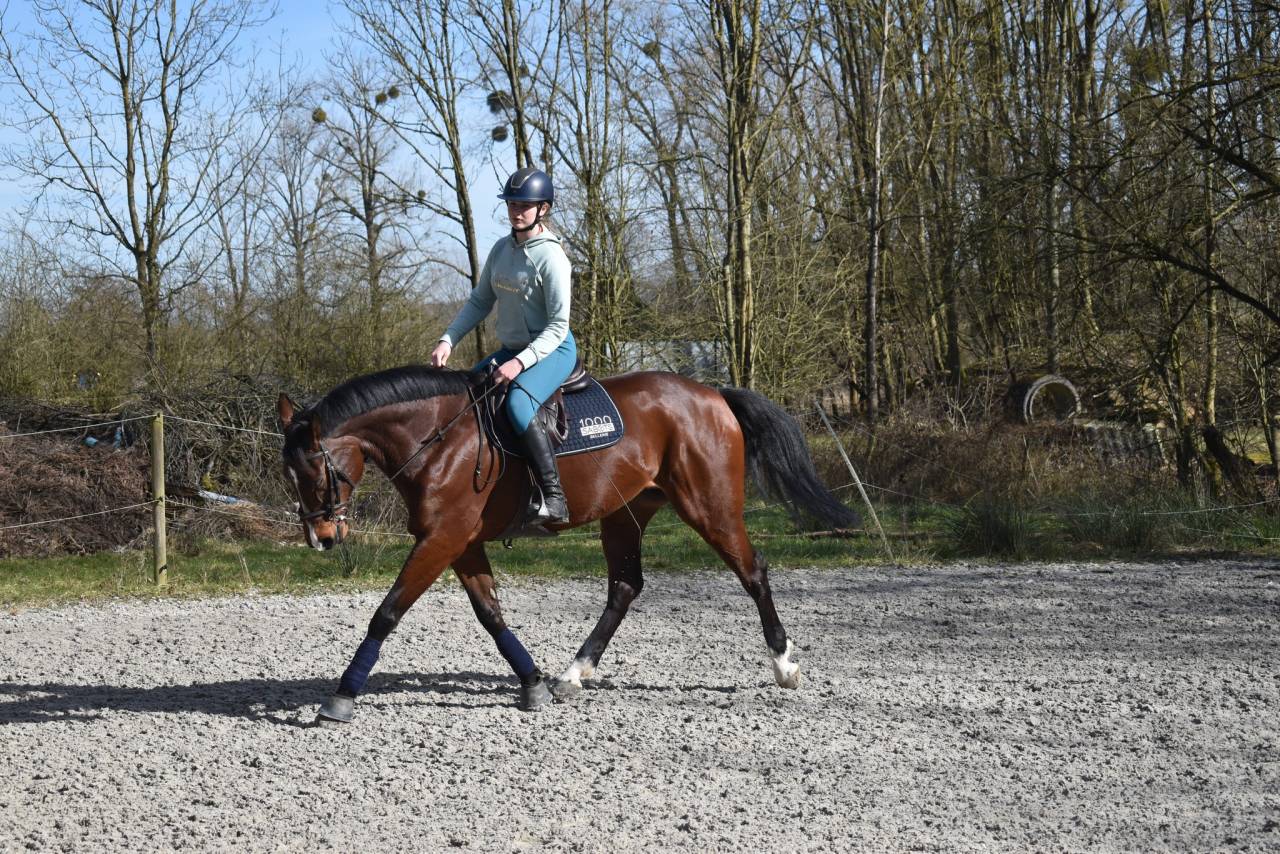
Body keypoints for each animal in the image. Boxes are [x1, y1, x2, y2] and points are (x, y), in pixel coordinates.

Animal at [277, 366, 859, 723]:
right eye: (291, 475)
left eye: (316, 472)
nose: (321, 539)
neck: (439, 436)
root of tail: (713, 394)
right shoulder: (459, 543)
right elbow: (491, 614)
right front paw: (532, 682)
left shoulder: (440, 540)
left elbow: (387, 612)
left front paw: (342, 696)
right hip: (626, 514)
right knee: (625, 587)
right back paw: (573, 674)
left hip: (708, 507)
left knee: (753, 571)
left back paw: (784, 665)